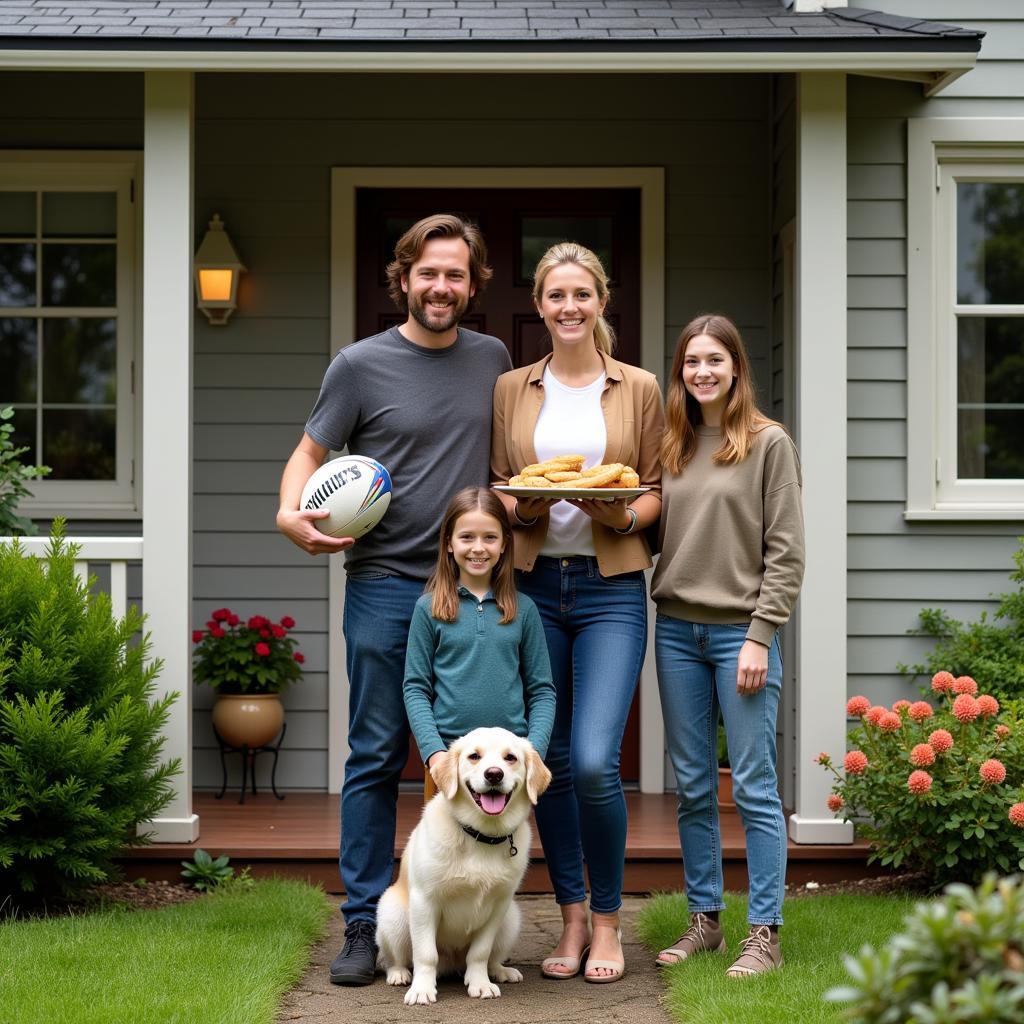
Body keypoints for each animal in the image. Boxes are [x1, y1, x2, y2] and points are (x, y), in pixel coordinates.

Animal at [376, 729, 552, 1007]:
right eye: (474, 756)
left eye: (510, 757)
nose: (494, 774)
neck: (482, 835)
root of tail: (451, 966)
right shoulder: (425, 901)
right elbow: (425, 954)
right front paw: (422, 990)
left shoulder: (498, 905)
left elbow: (480, 953)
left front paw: (480, 983)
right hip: (393, 915)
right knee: (395, 958)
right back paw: (399, 974)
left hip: (511, 919)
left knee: (490, 958)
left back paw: (500, 971)